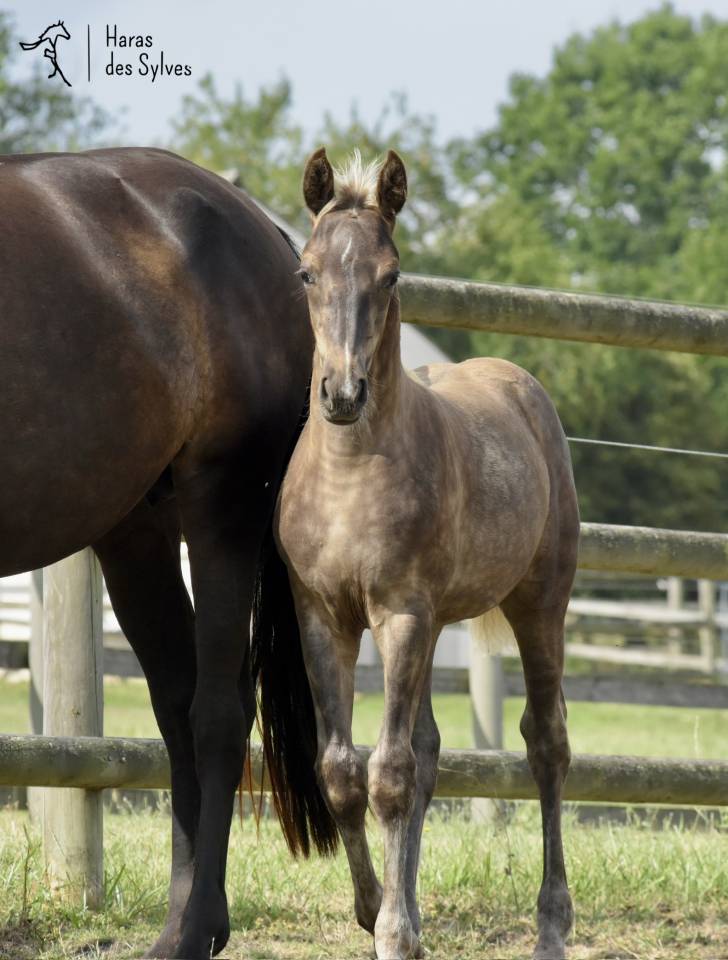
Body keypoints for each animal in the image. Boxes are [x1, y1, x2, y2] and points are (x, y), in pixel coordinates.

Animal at [0, 146, 336, 959]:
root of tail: (263, 232)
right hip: (138, 533)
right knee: (177, 706)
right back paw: (195, 920)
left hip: (223, 504)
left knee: (216, 711)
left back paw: (187, 933)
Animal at [274, 147, 580, 960]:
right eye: (306, 271)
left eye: (392, 275)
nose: (343, 394)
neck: (350, 475)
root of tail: (521, 386)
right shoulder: (323, 616)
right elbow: (343, 770)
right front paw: (375, 906)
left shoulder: (402, 614)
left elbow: (389, 772)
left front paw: (393, 928)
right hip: (438, 618)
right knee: (432, 748)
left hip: (539, 603)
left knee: (546, 743)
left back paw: (552, 924)